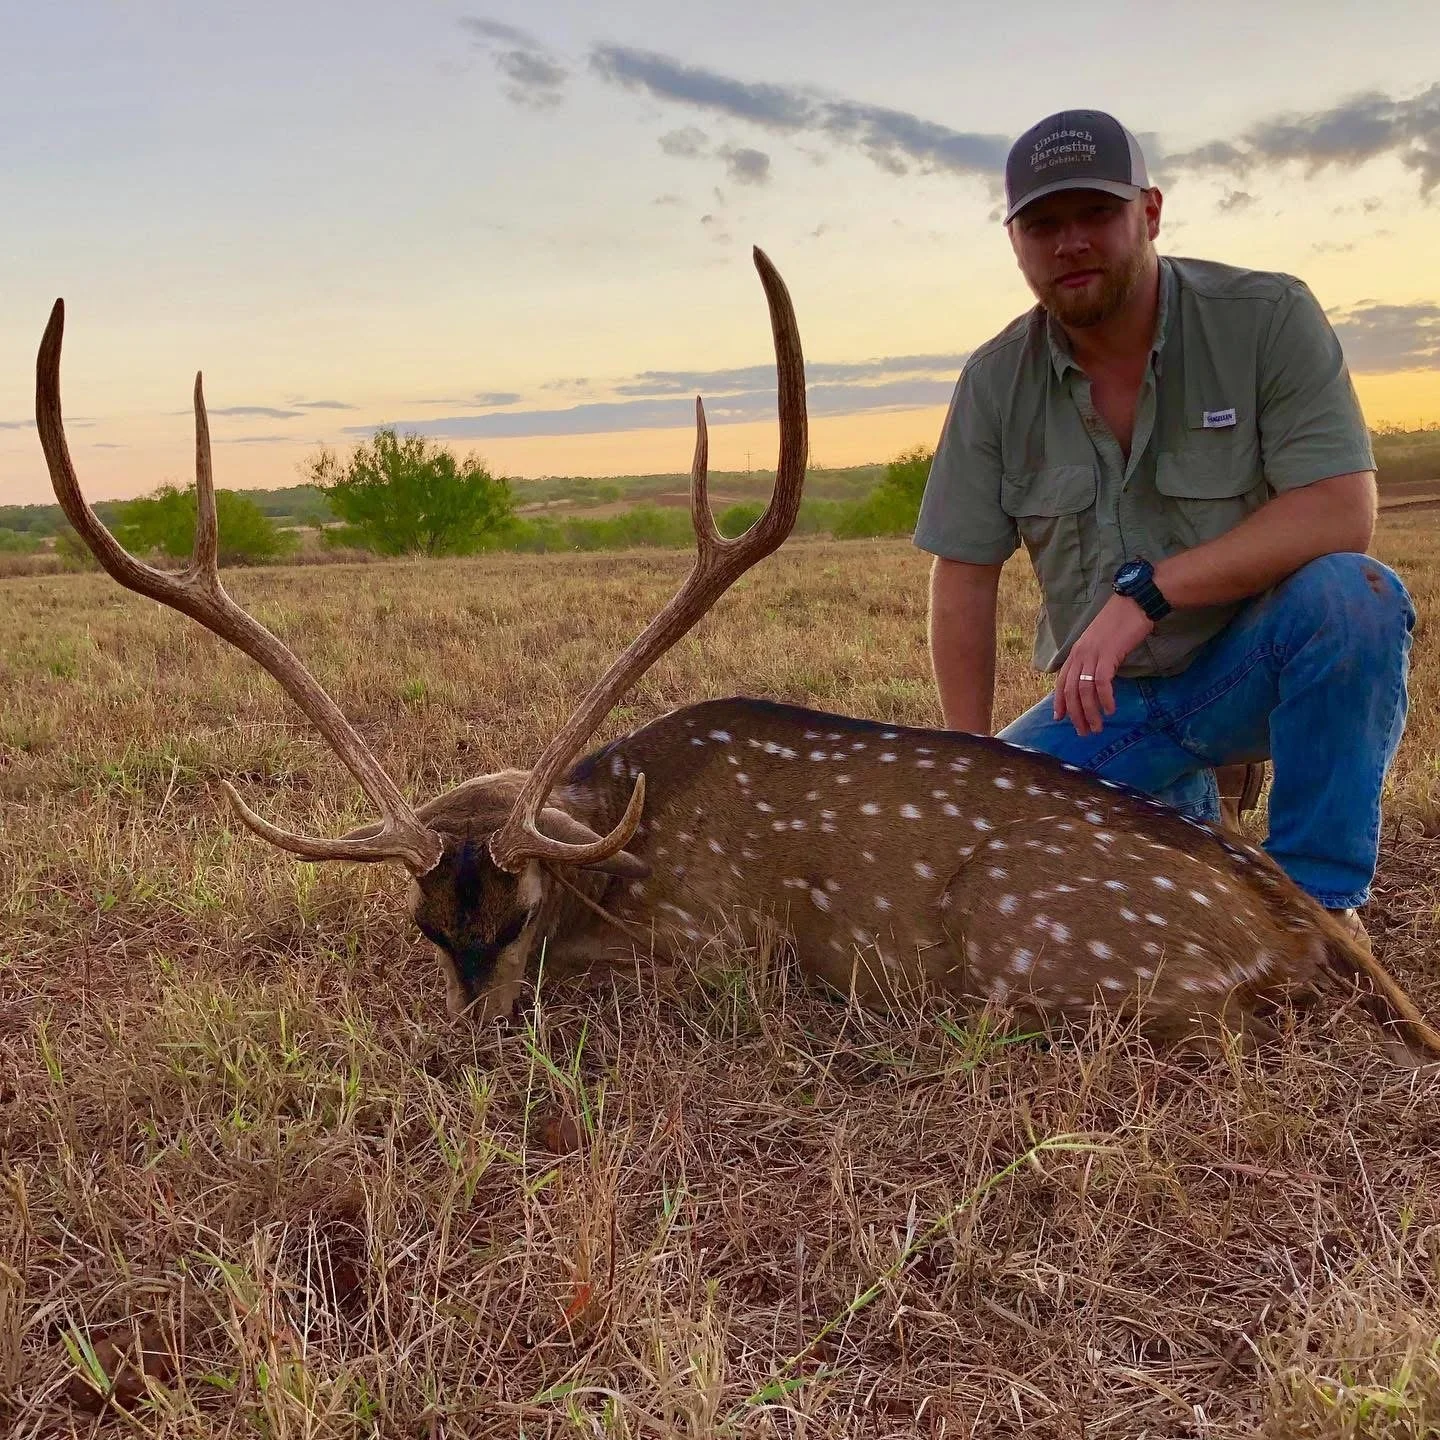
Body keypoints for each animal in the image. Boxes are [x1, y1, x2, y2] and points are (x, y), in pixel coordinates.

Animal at [36, 248, 1440, 1065]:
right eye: (429, 927)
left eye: (521, 913)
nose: (465, 1051)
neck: (622, 839)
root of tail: (1305, 926)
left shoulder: (716, 944)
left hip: (1038, 951)